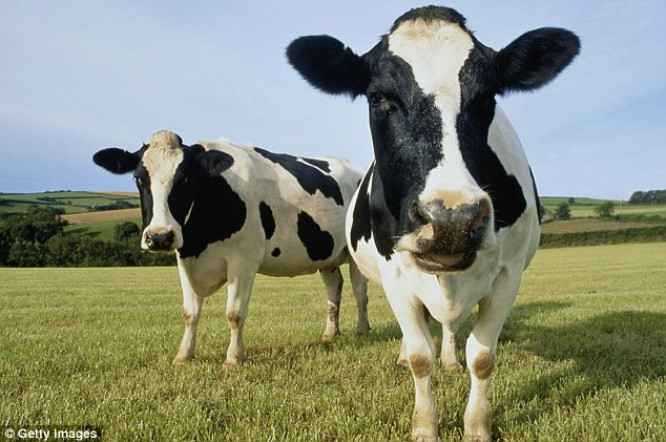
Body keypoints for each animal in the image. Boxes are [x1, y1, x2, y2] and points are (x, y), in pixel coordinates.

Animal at [93, 130, 370, 368]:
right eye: (139, 178)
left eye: (185, 179)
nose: (159, 237)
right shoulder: (184, 259)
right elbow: (189, 313)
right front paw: (183, 355)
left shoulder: (243, 261)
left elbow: (234, 313)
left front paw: (233, 358)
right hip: (328, 256)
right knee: (334, 289)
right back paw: (330, 334)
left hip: (356, 253)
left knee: (359, 291)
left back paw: (362, 330)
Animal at [287, 5, 579, 441]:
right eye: (379, 97)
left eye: (488, 96)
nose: (451, 218)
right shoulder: (394, 271)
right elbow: (420, 356)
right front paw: (425, 425)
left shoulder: (509, 274)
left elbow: (482, 356)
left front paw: (477, 426)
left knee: (449, 326)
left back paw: (451, 359)